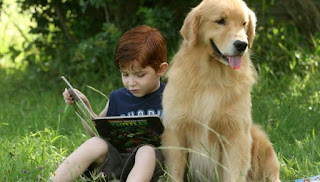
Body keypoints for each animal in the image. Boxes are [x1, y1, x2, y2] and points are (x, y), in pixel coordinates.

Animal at [161, 0, 278, 181]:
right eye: (220, 21)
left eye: (244, 23)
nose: (242, 45)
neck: (212, 77)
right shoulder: (175, 131)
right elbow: (175, 172)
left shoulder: (236, 133)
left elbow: (233, 173)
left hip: (258, 138)